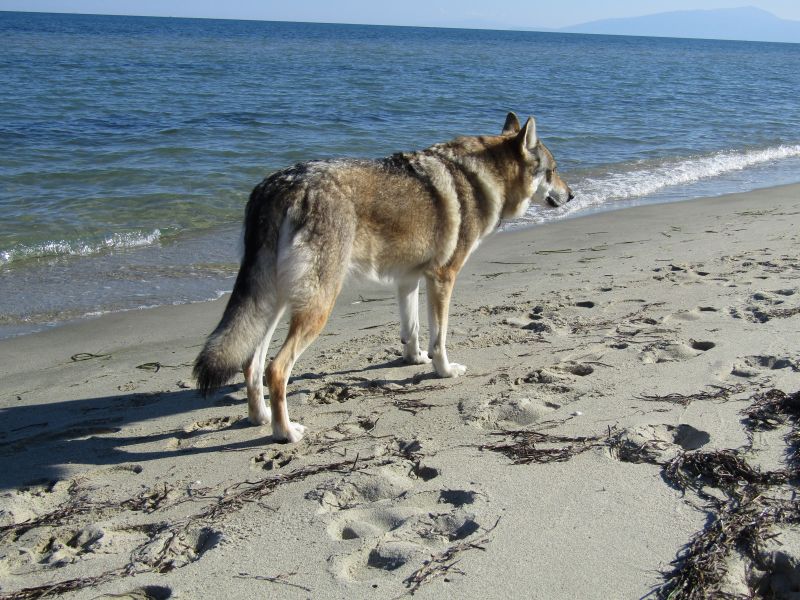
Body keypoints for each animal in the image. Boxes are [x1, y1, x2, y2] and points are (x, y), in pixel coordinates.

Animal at [194, 112, 573, 442]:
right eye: (553, 171)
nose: (571, 195)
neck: (481, 178)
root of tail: (276, 186)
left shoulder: (409, 280)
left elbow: (412, 330)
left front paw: (414, 359)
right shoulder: (443, 278)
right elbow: (440, 338)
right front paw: (443, 370)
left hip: (276, 303)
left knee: (251, 364)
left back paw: (259, 418)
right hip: (316, 307)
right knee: (275, 369)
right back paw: (284, 432)